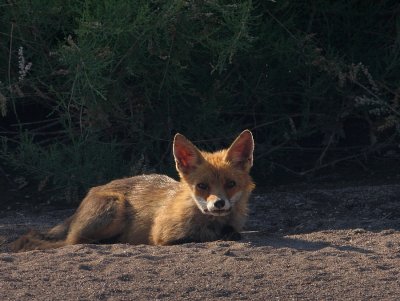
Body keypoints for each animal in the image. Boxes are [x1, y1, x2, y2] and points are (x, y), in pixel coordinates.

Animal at [13, 130, 256, 250]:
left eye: (230, 184)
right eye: (202, 186)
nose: (218, 203)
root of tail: (93, 190)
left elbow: (233, 233)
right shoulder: (162, 235)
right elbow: (199, 237)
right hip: (114, 210)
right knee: (68, 242)